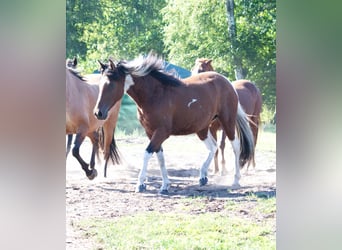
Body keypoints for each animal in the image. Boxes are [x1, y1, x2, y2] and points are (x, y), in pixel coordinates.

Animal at [93, 52, 254, 193]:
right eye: (100, 84)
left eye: (111, 84)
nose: (98, 113)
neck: (154, 95)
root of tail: (227, 83)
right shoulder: (151, 132)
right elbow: (160, 157)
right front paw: (165, 186)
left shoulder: (161, 132)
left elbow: (147, 153)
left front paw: (140, 184)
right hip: (201, 128)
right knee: (213, 146)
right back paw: (202, 176)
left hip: (227, 122)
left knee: (235, 146)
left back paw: (235, 180)